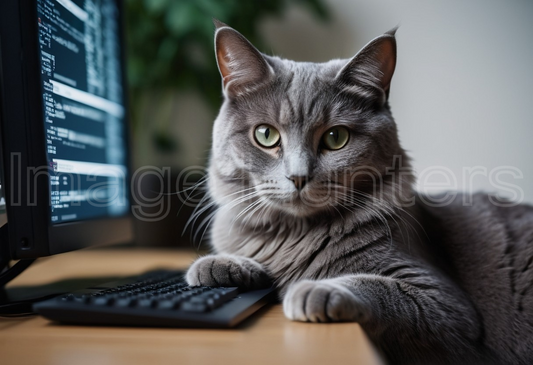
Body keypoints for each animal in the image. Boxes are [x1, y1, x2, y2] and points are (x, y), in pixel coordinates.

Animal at [186, 20, 532, 364]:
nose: (298, 176)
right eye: (265, 135)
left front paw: (316, 289)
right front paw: (218, 264)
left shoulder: (444, 302)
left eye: (336, 137)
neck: (293, 233)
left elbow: (381, 288)